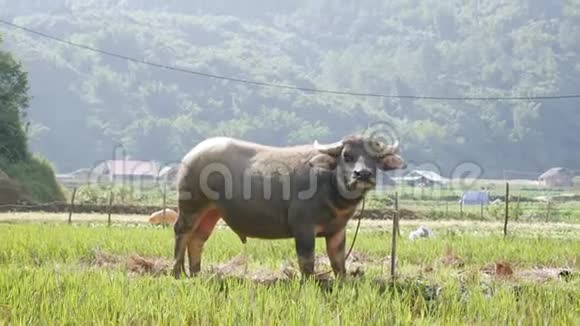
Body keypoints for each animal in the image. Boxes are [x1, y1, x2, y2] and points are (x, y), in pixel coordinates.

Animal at [173, 134, 408, 278]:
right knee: (181, 233)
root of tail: (190, 155)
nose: (363, 174)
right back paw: (177, 273)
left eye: (374, 158)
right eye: (346, 155)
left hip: (212, 212)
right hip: (191, 207)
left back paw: (196, 274)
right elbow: (307, 262)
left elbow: (338, 263)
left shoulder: (337, 232)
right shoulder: (303, 229)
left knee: (197, 240)